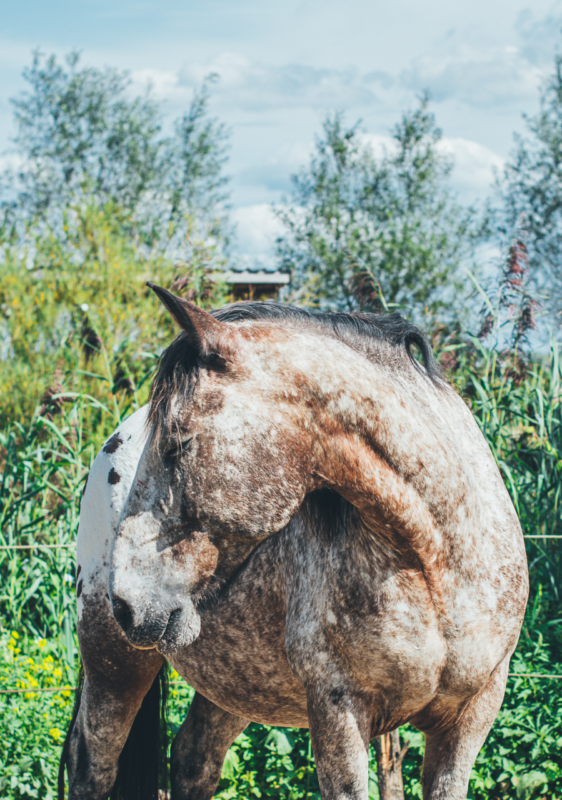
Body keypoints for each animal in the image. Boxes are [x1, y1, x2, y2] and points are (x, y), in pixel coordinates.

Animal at [59, 288, 528, 800]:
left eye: (177, 444)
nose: (127, 602)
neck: (435, 564)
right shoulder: (338, 712)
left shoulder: (469, 721)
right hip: (114, 664)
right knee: (92, 766)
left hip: (235, 683)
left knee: (192, 761)